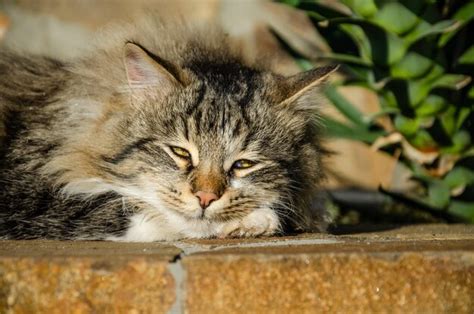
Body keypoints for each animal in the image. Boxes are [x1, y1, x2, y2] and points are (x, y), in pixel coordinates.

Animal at [0, 18, 336, 242]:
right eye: (179, 152)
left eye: (243, 164)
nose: (205, 197)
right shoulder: (31, 196)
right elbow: (141, 212)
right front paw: (259, 219)